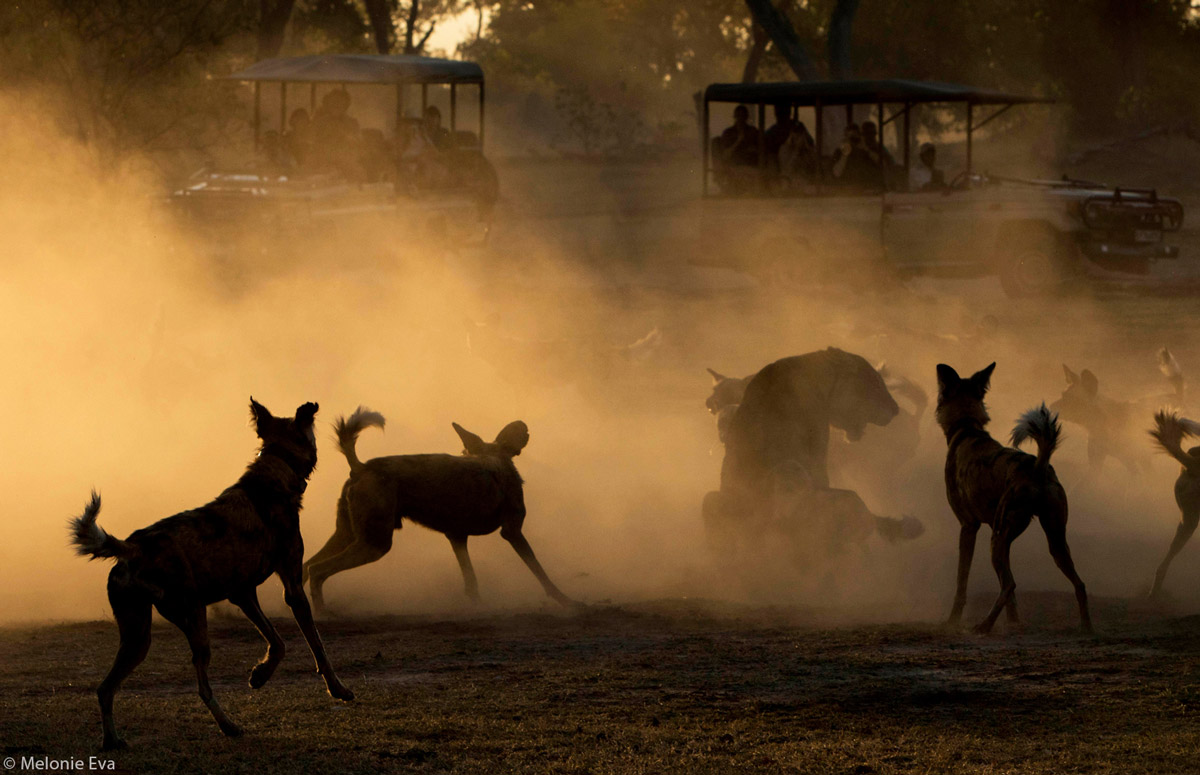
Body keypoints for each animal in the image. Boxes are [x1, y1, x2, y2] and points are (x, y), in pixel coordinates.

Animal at [69, 400, 350, 753]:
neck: (272, 477)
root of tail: (133, 546)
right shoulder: (293, 588)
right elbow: (317, 647)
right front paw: (338, 689)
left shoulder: (243, 594)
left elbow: (278, 642)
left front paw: (260, 675)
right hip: (194, 621)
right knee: (201, 687)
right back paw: (229, 726)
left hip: (138, 638)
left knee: (105, 688)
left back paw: (112, 741)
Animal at [304, 410, 576, 614]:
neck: (494, 458)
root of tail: (361, 466)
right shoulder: (512, 532)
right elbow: (541, 573)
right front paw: (567, 601)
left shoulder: (457, 536)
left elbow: (471, 581)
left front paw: (479, 607)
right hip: (375, 544)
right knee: (317, 570)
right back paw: (323, 613)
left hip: (348, 536)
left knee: (308, 565)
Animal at [936, 367, 1099, 638]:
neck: (966, 428)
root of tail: (1037, 467)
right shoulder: (1001, 537)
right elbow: (1011, 597)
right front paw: (1014, 623)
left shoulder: (969, 527)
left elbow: (962, 583)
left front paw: (951, 622)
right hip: (1053, 541)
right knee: (1078, 584)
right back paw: (1086, 628)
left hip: (996, 540)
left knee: (1010, 584)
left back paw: (984, 626)